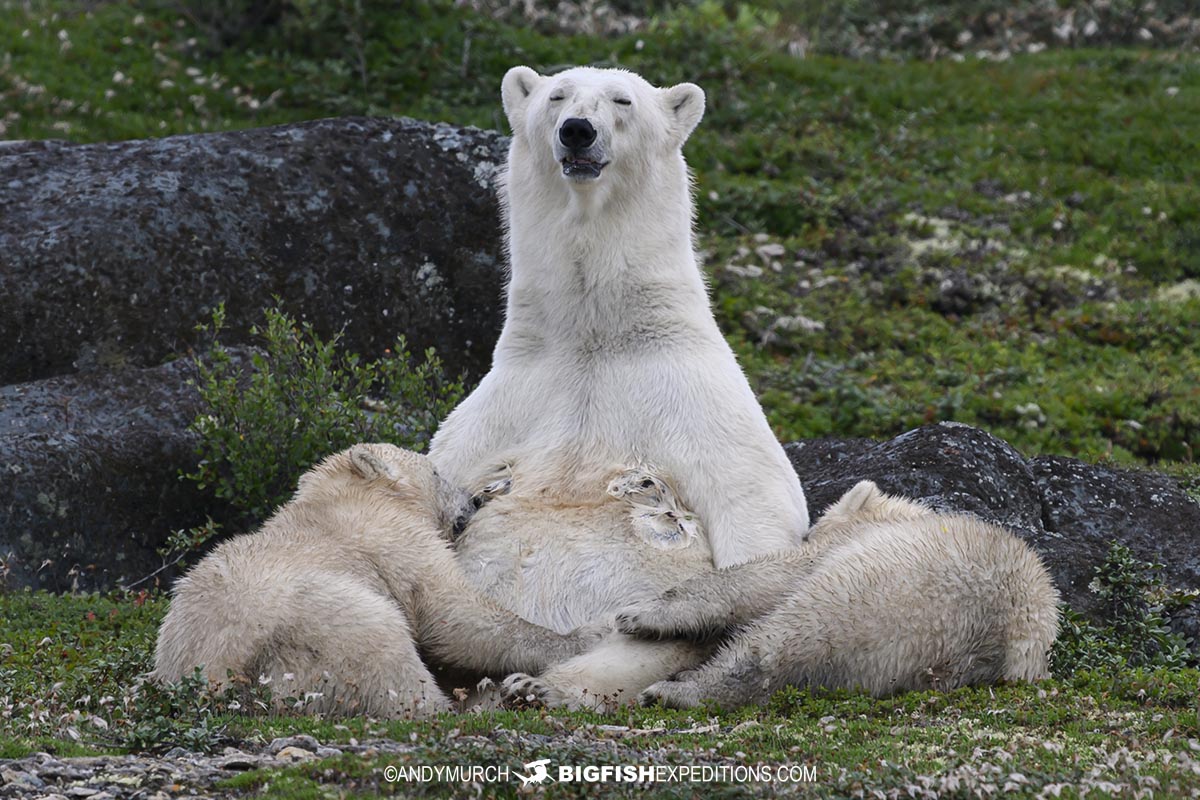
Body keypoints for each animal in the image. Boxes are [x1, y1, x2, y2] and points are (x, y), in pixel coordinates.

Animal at [151, 443, 602, 718]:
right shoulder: (395, 539)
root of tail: (219, 677)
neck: (346, 497)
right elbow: (452, 615)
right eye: (436, 471)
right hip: (320, 631)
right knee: (385, 652)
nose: (473, 499)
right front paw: (584, 636)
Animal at [428, 66, 811, 649]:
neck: (595, 339)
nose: (577, 130)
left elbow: (753, 498)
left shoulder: (692, 399)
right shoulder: (501, 411)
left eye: (622, 100)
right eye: (556, 96)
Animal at [611, 481, 1060, 709]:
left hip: (886, 590)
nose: (807, 532)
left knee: (782, 640)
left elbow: (767, 577)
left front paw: (639, 615)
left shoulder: (849, 549)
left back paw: (676, 691)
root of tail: (1007, 637)